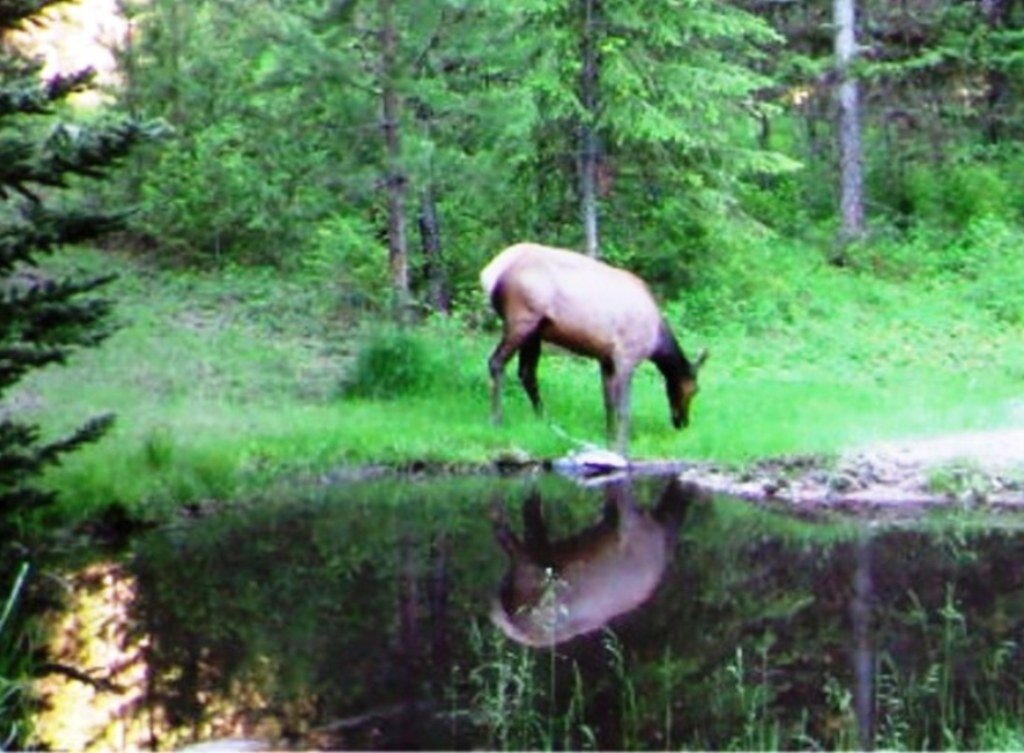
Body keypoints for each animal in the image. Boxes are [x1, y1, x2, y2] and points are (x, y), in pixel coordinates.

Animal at [477, 244, 704, 450]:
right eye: (694, 390)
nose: (682, 422)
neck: (655, 341)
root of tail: (489, 274)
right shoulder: (626, 357)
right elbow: (624, 408)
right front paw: (622, 446)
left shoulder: (606, 360)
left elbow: (609, 403)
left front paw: (609, 439)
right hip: (521, 321)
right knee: (496, 362)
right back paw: (497, 420)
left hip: (534, 333)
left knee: (526, 373)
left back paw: (544, 420)